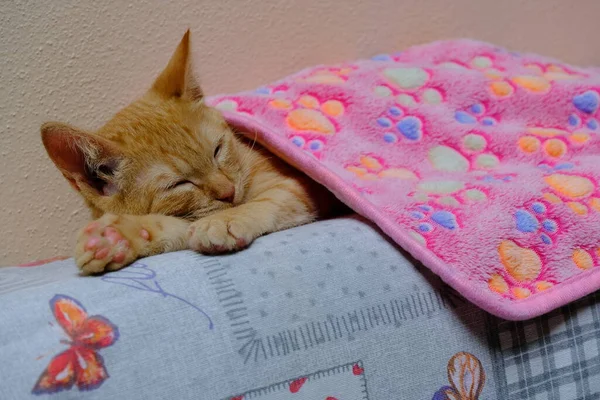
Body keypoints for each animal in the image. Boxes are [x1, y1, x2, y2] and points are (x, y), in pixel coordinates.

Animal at [42, 31, 342, 276]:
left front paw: (225, 219)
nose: (228, 192)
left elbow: (267, 199)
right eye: (179, 184)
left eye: (218, 150)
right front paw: (119, 237)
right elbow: (176, 227)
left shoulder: (299, 187)